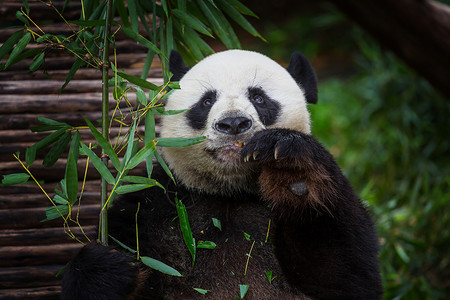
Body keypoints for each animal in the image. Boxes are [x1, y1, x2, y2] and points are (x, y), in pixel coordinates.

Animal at [61, 50, 382, 298]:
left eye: (259, 98)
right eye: (206, 101)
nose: (233, 124)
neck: (230, 194)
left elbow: (344, 276)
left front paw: (294, 173)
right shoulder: (150, 211)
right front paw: (104, 269)